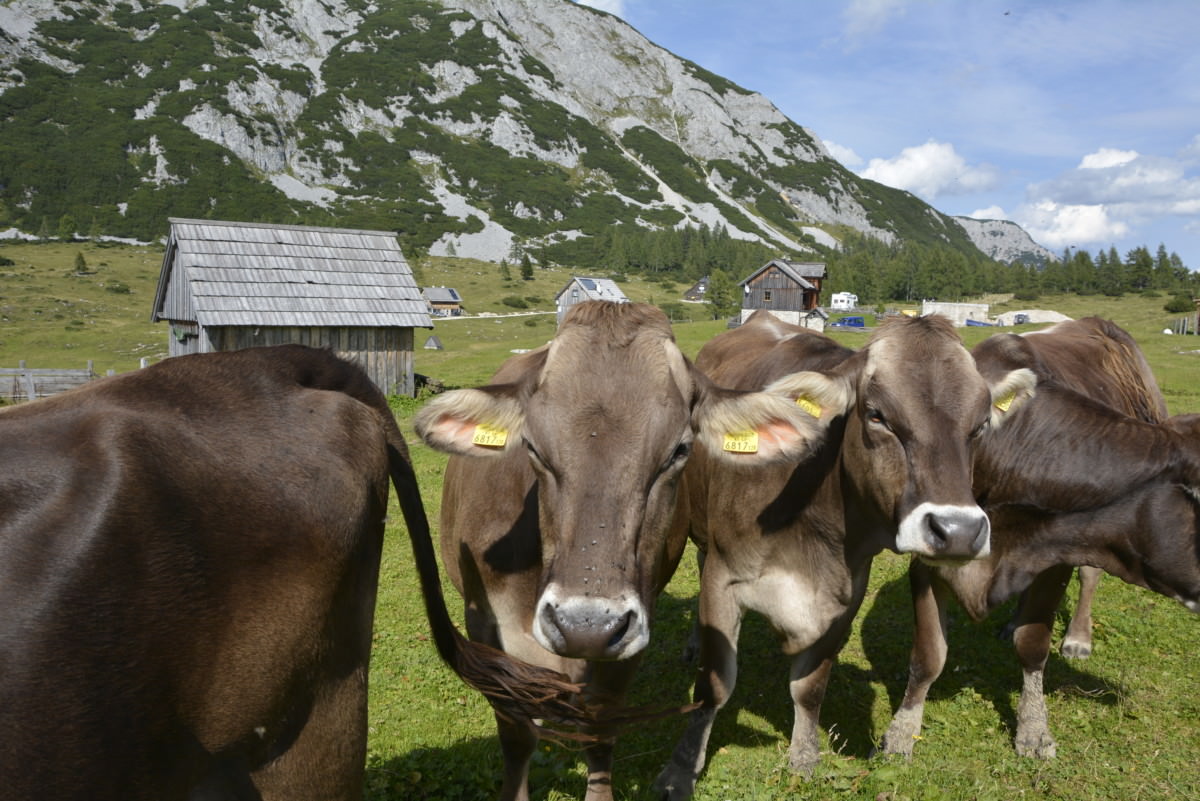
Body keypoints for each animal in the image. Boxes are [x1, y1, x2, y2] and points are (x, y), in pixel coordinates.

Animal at [412, 302, 854, 801]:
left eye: (679, 450)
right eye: (532, 448)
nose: (584, 626)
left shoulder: (632, 632)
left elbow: (602, 728)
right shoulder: (486, 629)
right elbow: (517, 735)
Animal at [652, 309, 1036, 796]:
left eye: (981, 424)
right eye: (877, 416)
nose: (958, 532)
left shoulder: (846, 596)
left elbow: (811, 686)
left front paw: (803, 757)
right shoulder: (723, 578)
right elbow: (713, 687)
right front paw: (679, 770)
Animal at [878, 316, 1195, 757]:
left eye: (978, 426)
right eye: (886, 420)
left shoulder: (1059, 556)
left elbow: (1033, 644)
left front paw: (1033, 728)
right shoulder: (927, 555)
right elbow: (928, 653)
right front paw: (902, 731)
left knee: (1090, 577)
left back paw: (1077, 637)